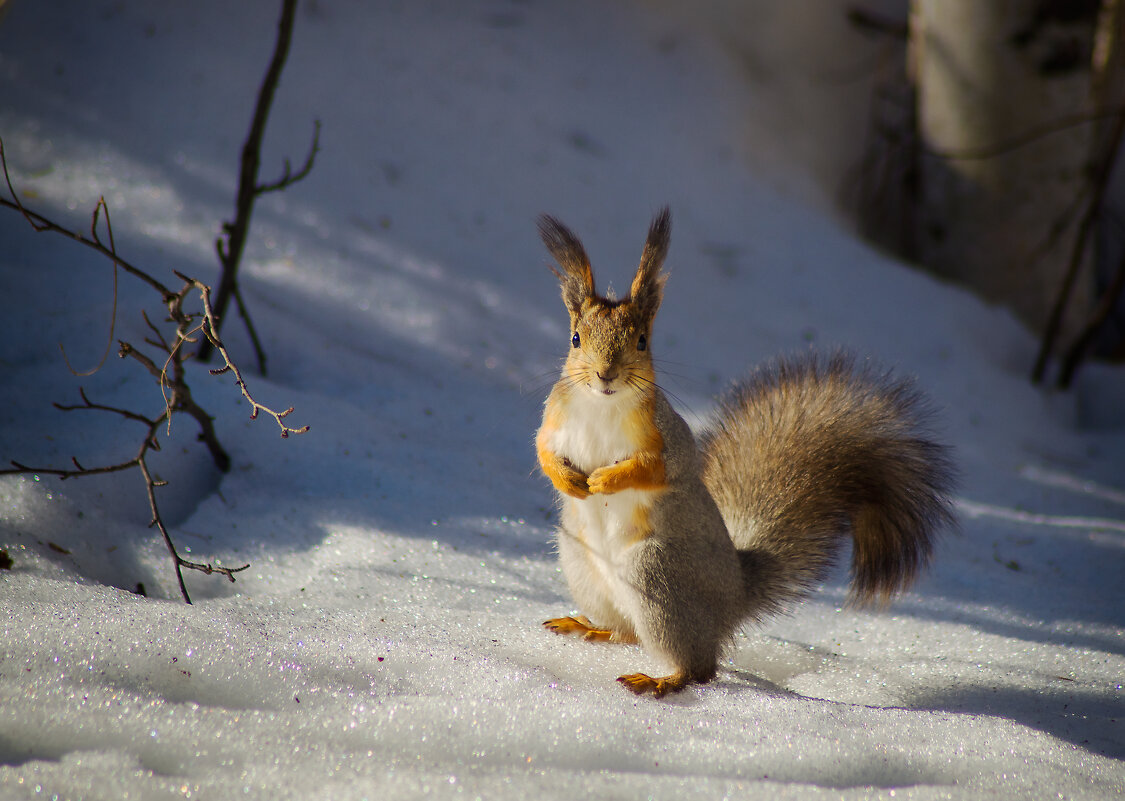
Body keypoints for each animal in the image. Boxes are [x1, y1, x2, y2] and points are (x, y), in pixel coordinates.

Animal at [531, 204, 954, 693]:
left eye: (642, 341)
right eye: (575, 338)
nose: (605, 374)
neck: (602, 406)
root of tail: (733, 596)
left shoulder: (668, 439)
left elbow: (661, 469)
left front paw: (606, 478)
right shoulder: (553, 422)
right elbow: (543, 452)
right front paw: (568, 479)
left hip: (655, 576)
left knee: (700, 667)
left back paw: (663, 680)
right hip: (580, 561)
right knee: (626, 632)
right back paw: (589, 627)